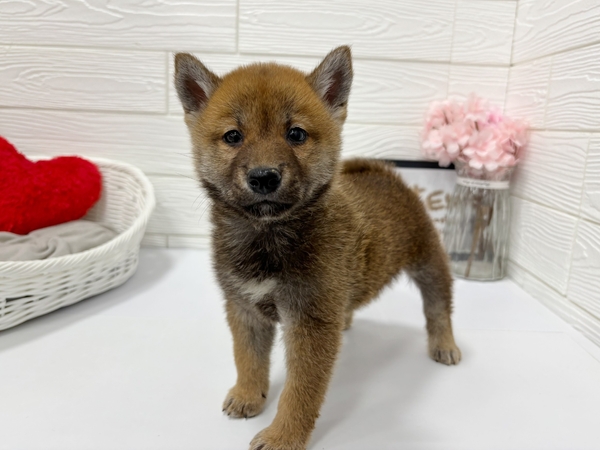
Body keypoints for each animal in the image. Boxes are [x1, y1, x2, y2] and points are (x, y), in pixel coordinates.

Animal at [174, 46, 461, 450]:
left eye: (296, 134)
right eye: (233, 136)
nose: (264, 177)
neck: (268, 239)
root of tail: (385, 173)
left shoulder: (310, 322)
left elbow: (300, 392)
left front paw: (283, 436)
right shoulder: (245, 308)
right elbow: (248, 360)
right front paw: (248, 395)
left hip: (429, 262)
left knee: (438, 307)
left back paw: (444, 344)